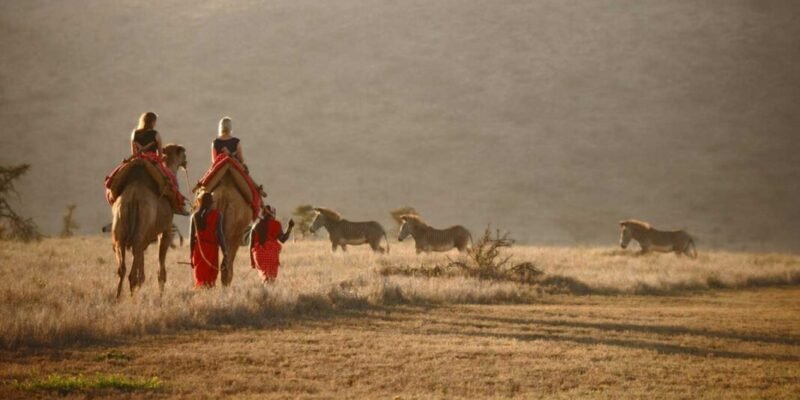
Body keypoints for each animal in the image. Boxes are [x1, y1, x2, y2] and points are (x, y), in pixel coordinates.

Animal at [111, 145, 187, 297]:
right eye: (182, 153)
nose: (186, 160)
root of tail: (133, 197)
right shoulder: (165, 231)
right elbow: (160, 265)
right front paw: (161, 293)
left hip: (120, 229)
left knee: (122, 267)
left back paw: (118, 297)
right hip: (142, 226)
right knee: (131, 273)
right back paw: (132, 298)